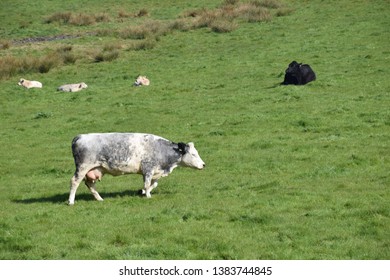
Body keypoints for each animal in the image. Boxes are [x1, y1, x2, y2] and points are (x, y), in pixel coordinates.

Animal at [68, 132, 206, 205]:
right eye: (193, 154)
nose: (204, 165)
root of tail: (80, 137)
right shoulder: (148, 169)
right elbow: (147, 184)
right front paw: (148, 195)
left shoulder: (156, 171)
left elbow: (153, 184)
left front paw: (143, 192)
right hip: (83, 167)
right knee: (75, 182)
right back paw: (71, 201)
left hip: (94, 170)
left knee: (90, 184)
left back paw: (100, 199)